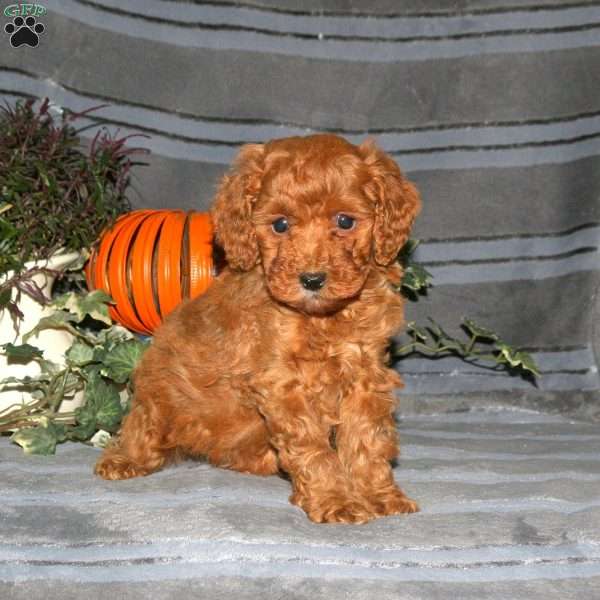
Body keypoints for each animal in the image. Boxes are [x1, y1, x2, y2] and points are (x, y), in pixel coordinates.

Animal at [95, 134, 422, 524]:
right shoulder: (282, 383)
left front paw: (378, 495)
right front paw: (335, 499)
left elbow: (367, 440)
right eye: (280, 225)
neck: (323, 318)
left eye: (345, 221)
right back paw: (123, 459)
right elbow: (314, 448)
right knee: (141, 428)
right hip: (160, 397)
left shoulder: (365, 374)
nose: (312, 279)